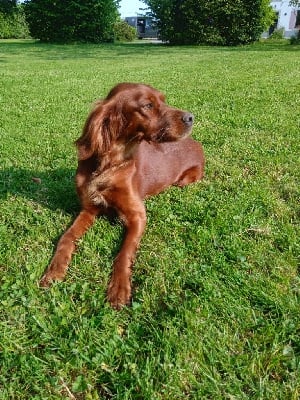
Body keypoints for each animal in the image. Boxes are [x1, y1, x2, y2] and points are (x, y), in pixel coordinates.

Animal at [39, 83, 204, 310]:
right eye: (148, 105)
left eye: (163, 100)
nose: (190, 117)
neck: (110, 164)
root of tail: (196, 143)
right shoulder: (88, 209)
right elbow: (67, 237)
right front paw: (55, 269)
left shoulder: (138, 215)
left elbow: (124, 253)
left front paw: (119, 288)